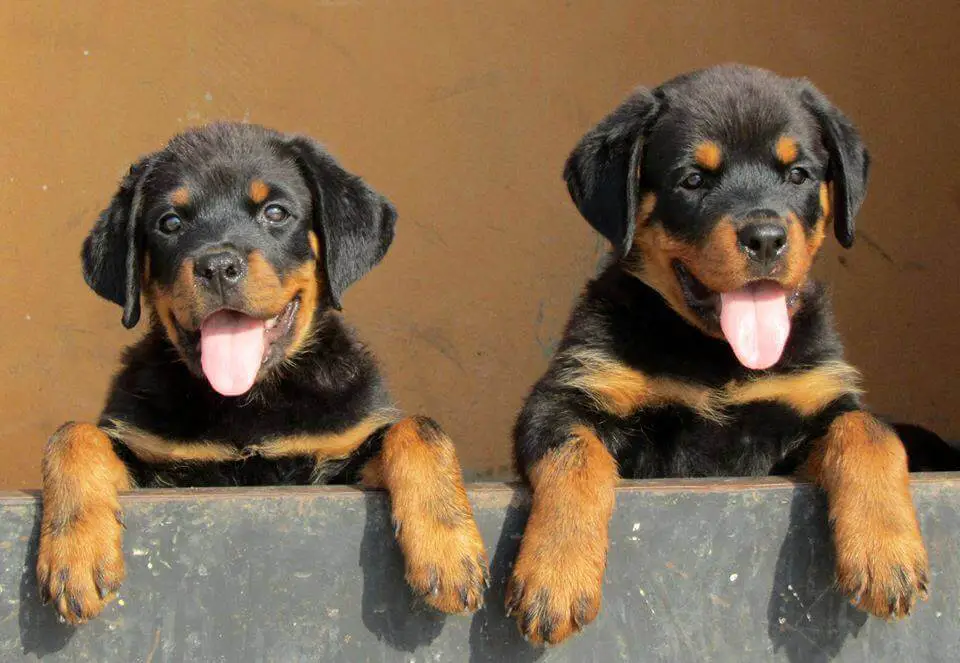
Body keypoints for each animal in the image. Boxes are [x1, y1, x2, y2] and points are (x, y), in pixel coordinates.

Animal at [37, 122, 488, 624]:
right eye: (170, 223)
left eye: (275, 212)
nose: (217, 266)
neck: (248, 402)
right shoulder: (154, 462)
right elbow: (72, 435)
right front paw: (76, 555)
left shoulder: (338, 459)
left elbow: (418, 428)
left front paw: (449, 549)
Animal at [506, 65, 940, 644]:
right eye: (693, 180)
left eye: (798, 174)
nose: (766, 238)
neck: (717, 356)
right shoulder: (567, 394)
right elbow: (576, 457)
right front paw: (554, 575)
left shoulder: (811, 400)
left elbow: (870, 431)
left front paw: (887, 554)